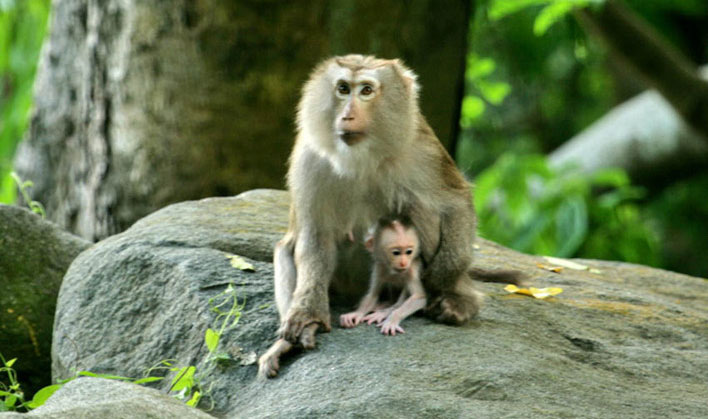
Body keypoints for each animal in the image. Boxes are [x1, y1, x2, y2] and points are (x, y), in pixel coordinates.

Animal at [259, 54, 490, 378]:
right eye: (343, 88)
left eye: (366, 91)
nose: (347, 116)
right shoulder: (308, 157)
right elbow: (314, 234)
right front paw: (308, 316)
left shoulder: (419, 145)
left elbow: (455, 202)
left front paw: (442, 282)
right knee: (286, 249)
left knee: (421, 207)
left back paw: (458, 299)